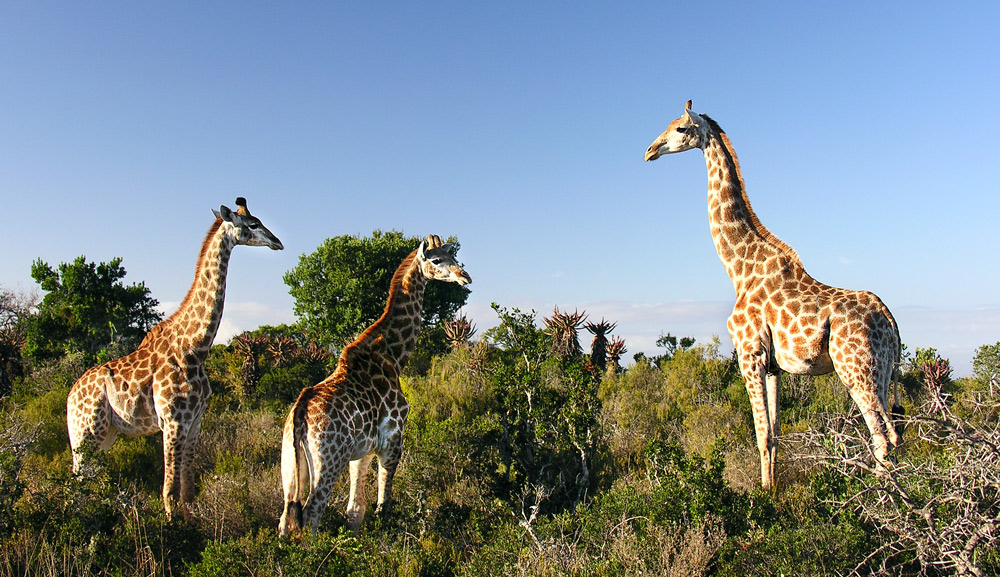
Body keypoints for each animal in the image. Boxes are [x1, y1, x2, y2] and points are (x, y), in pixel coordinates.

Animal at [63, 197, 282, 516]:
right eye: (253, 224)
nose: (278, 242)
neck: (195, 347)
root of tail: (69, 396)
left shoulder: (195, 422)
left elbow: (188, 490)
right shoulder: (173, 421)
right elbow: (168, 490)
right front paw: (171, 527)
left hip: (105, 434)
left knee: (87, 478)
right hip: (85, 432)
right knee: (76, 480)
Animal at [278, 235, 472, 536]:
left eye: (453, 257)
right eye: (437, 260)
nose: (465, 276)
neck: (392, 356)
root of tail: (298, 415)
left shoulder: (361, 451)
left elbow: (355, 510)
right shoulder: (392, 440)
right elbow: (383, 506)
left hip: (289, 464)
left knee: (286, 519)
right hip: (327, 462)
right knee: (311, 515)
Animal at [644, 101, 904, 488]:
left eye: (680, 129)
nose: (649, 150)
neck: (738, 268)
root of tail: (889, 318)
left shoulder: (748, 353)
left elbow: (761, 435)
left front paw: (763, 496)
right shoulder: (773, 366)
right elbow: (776, 434)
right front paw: (773, 492)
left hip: (856, 369)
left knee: (882, 439)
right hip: (885, 370)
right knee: (894, 436)